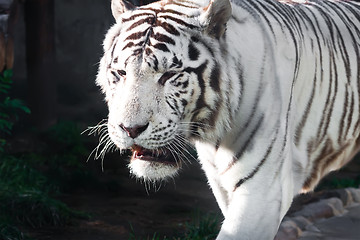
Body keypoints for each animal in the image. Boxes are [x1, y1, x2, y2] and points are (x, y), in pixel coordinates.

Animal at [95, 0, 360, 239]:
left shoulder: (264, 190)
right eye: (121, 73)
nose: (130, 129)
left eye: (170, 75)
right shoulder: (222, 185)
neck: (214, 131)